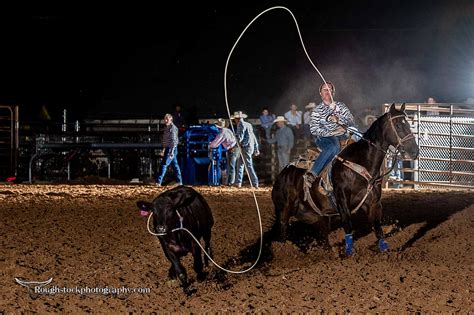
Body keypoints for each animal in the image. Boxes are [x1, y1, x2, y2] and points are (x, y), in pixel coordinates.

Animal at [272, 103, 416, 256]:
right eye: (398, 125)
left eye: (408, 123)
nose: (415, 151)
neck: (361, 162)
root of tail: (282, 174)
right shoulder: (342, 200)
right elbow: (348, 224)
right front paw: (350, 252)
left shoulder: (374, 202)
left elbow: (377, 227)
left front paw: (385, 252)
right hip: (283, 209)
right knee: (283, 229)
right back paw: (284, 250)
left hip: (317, 215)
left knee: (322, 231)